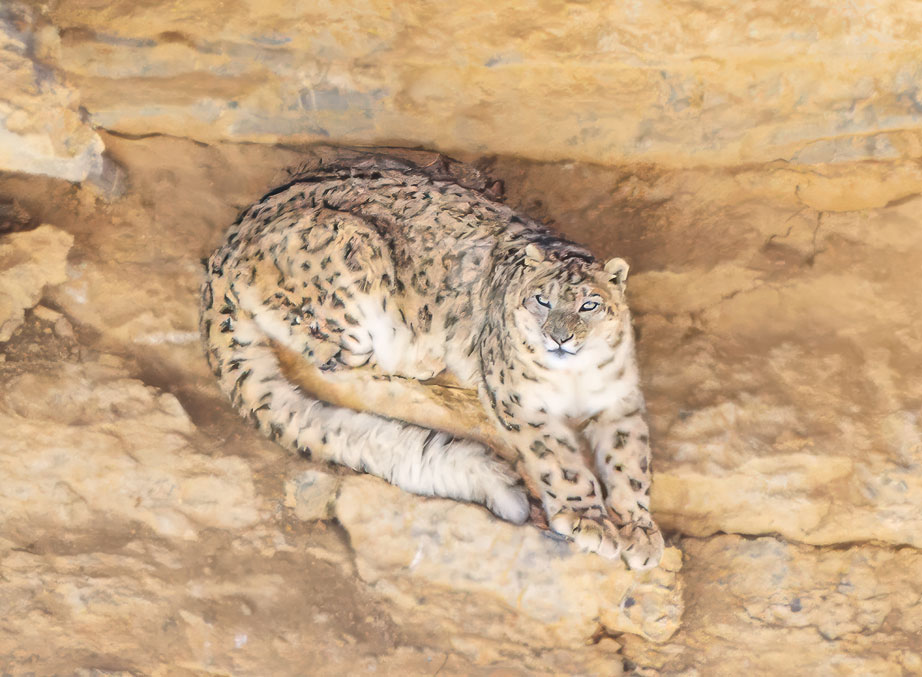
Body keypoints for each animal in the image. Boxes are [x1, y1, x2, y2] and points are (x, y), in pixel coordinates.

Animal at [200, 150, 664, 570]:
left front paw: (640, 531)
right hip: (351, 257)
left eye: (589, 305)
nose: (560, 338)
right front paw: (591, 522)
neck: (575, 379)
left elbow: (630, 462)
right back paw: (421, 359)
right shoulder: (520, 400)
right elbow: (560, 461)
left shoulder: (620, 399)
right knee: (336, 352)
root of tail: (228, 240)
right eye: (541, 300)